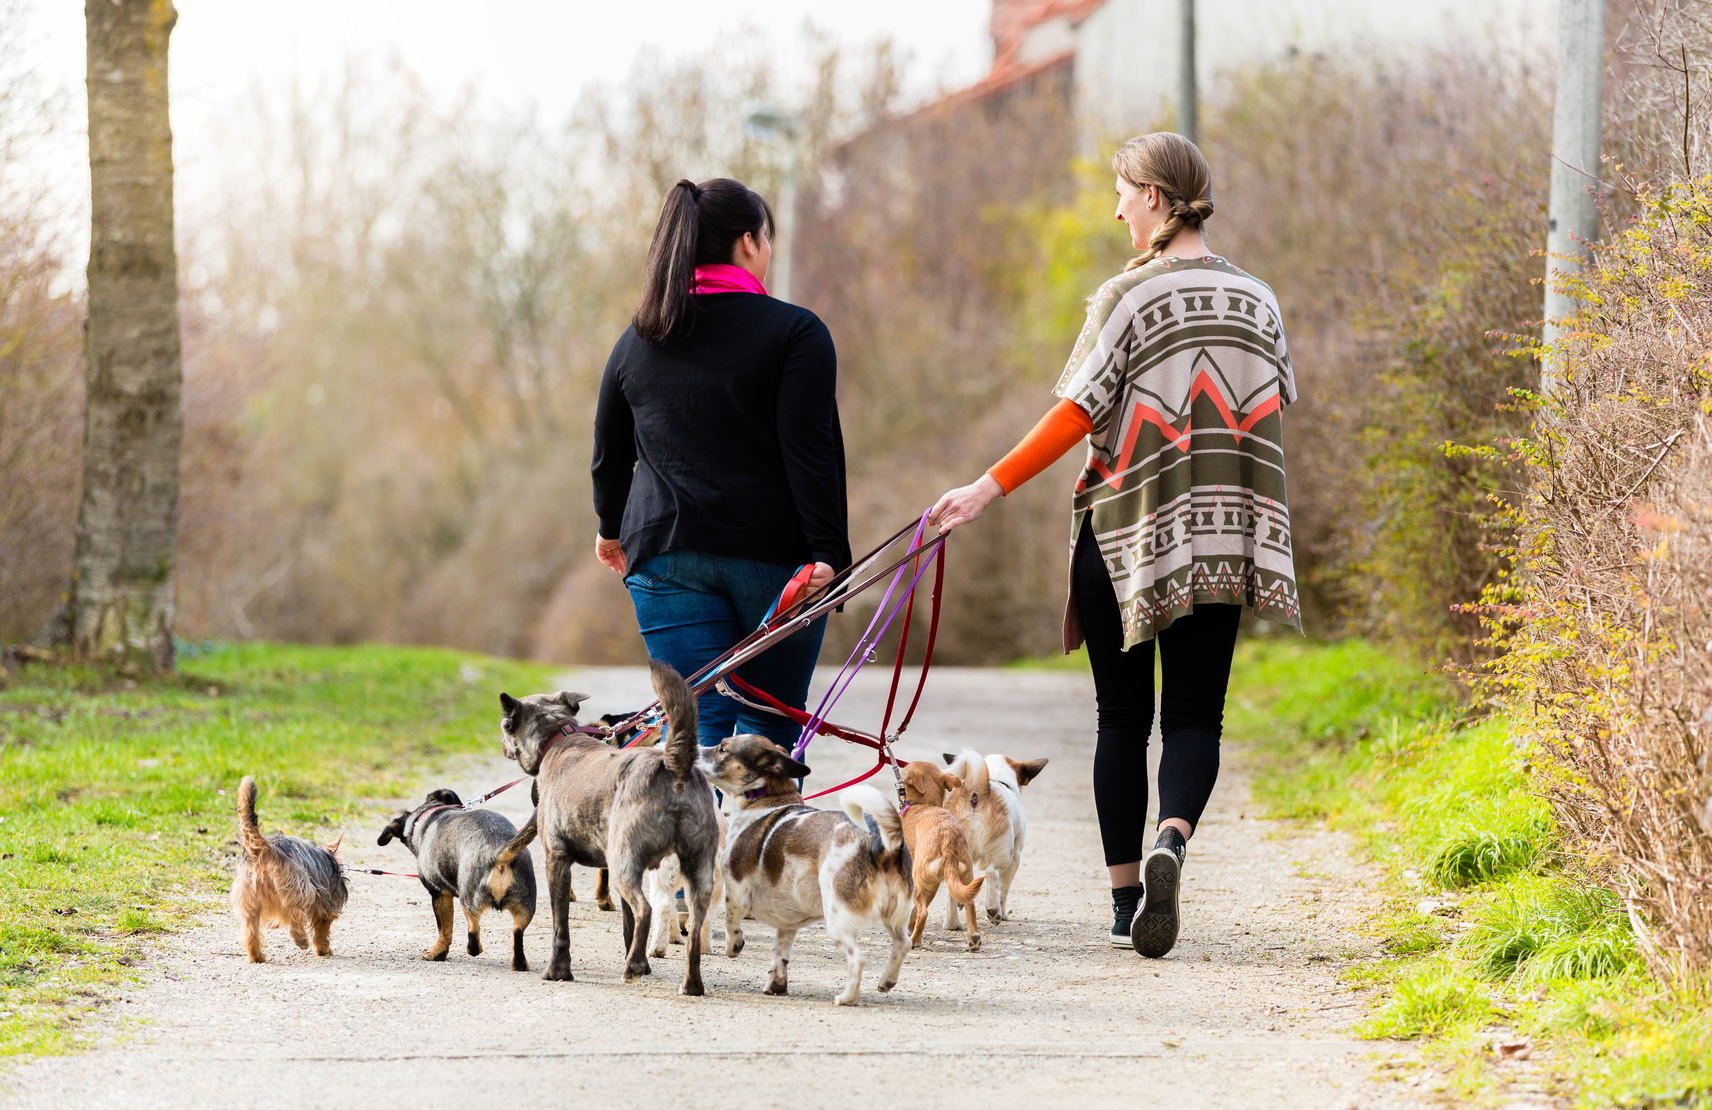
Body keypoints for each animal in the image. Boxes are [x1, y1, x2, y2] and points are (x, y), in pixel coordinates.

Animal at [380, 784, 534, 966]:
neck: (429, 817)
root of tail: (499, 852)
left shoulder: (439, 894)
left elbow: (444, 930)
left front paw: (436, 954)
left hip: (469, 900)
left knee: (473, 930)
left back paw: (474, 950)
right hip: (525, 907)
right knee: (517, 932)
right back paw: (519, 964)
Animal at [698, 736, 917, 1007]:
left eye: (723, 749)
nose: (694, 747)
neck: (767, 798)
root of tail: (883, 844)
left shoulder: (737, 893)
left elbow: (731, 924)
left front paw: (734, 946)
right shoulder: (788, 922)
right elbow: (780, 953)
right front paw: (777, 984)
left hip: (837, 919)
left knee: (858, 958)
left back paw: (848, 997)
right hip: (896, 914)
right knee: (903, 943)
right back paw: (886, 981)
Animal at [897, 763, 992, 952]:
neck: (923, 803)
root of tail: (947, 837)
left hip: (918, 881)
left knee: (923, 911)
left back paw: (913, 941)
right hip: (958, 878)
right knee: (969, 904)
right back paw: (973, 938)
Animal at [938, 750, 1040, 925]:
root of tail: (976, 789)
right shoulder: (1015, 858)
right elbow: (1004, 889)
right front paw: (1002, 913)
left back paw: (953, 924)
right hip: (1005, 853)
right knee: (993, 873)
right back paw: (994, 910)